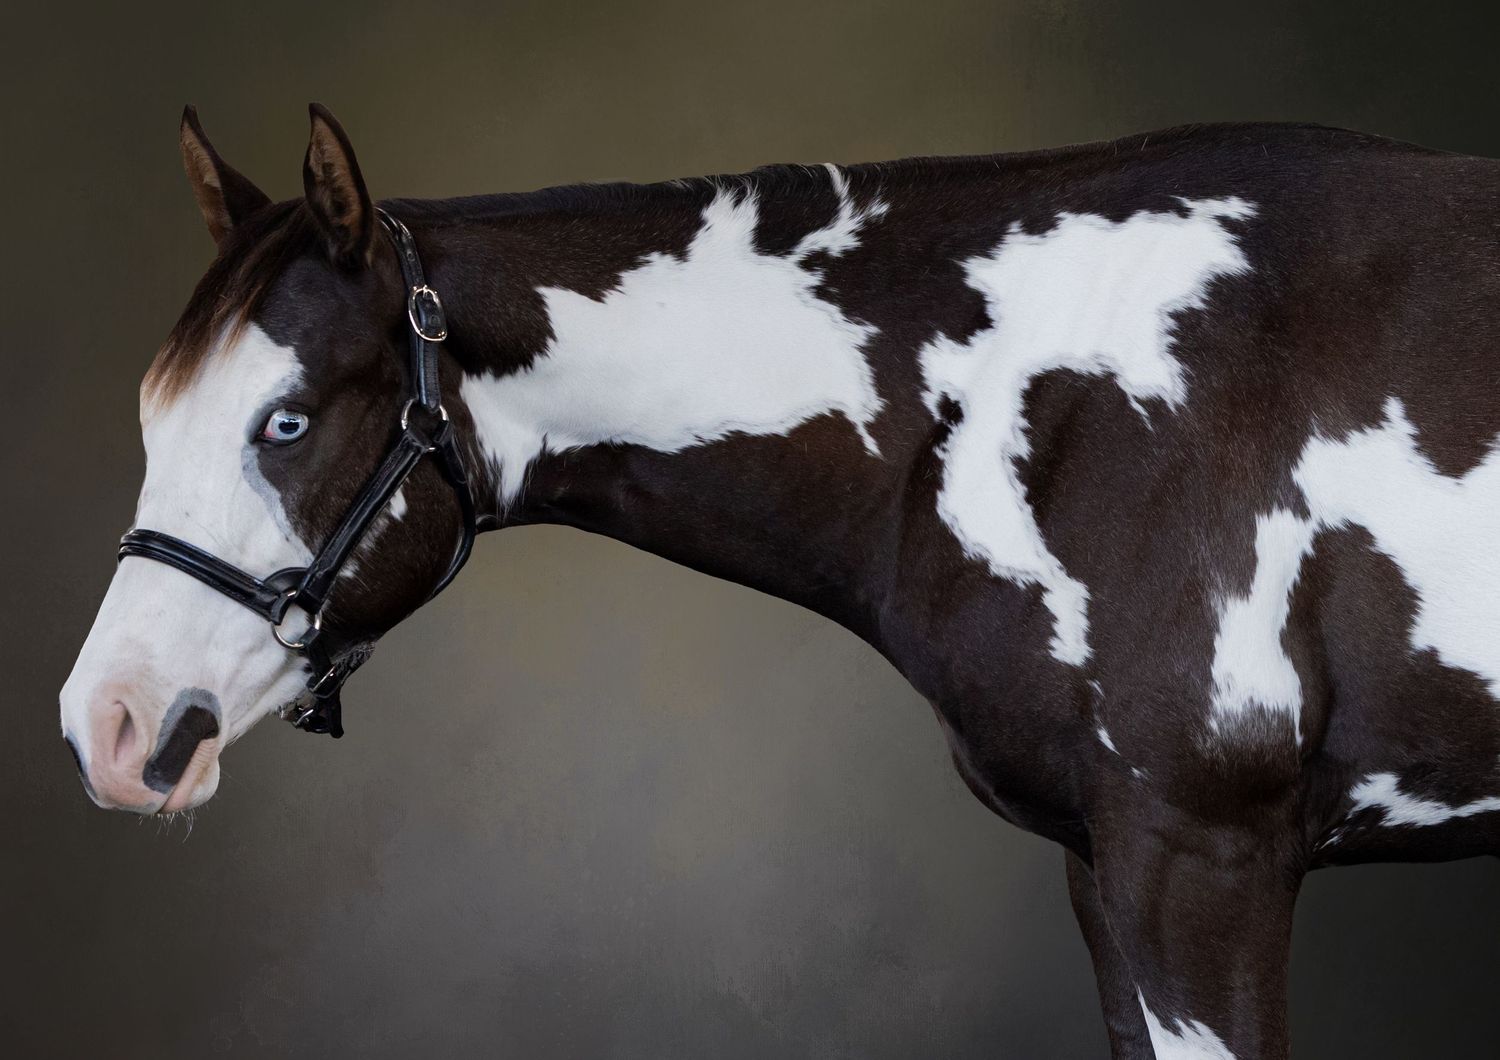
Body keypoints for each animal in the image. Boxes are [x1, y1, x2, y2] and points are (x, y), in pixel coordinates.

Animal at [59, 104, 1500, 1059]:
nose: (109, 725)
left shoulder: (1200, 860)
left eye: (286, 421)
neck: (1058, 390)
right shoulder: (1105, 867)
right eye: (152, 415)